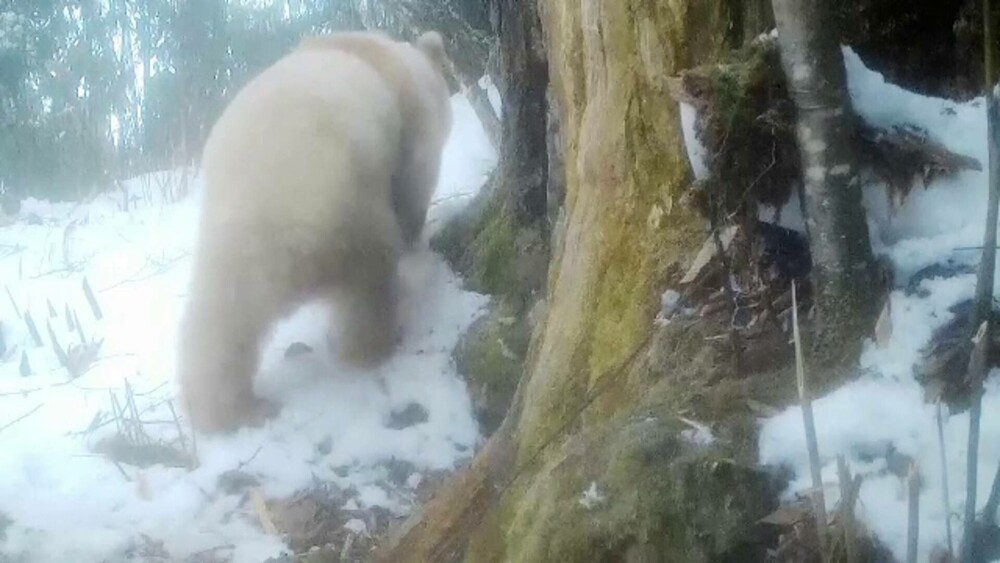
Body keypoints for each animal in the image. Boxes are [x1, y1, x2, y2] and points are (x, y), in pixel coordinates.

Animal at [182, 30, 456, 434]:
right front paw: (417, 235)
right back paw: (370, 347)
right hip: (353, 207)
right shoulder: (409, 118)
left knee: (217, 329)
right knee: (369, 286)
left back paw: (225, 411)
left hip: (226, 252)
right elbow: (414, 180)